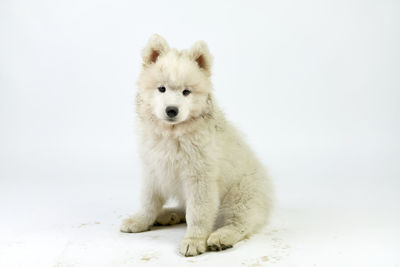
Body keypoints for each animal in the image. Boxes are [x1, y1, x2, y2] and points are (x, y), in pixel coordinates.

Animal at [120, 34, 274, 256]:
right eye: (161, 89)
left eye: (186, 92)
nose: (172, 110)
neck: (172, 135)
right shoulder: (153, 170)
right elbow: (148, 202)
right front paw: (140, 221)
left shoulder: (200, 178)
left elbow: (198, 213)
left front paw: (194, 240)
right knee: (183, 208)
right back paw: (168, 215)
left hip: (241, 195)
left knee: (240, 222)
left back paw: (221, 236)